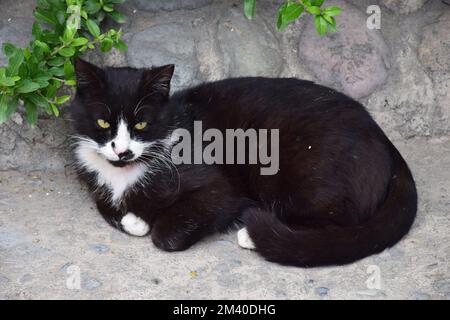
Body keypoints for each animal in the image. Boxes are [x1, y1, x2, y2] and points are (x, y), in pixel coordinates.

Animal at [71, 59, 418, 268]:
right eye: (103, 122)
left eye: (141, 124)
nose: (121, 151)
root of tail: (383, 139)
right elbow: (108, 207)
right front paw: (133, 218)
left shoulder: (220, 190)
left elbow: (166, 232)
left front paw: (149, 221)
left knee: (340, 221)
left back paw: (254, 234)